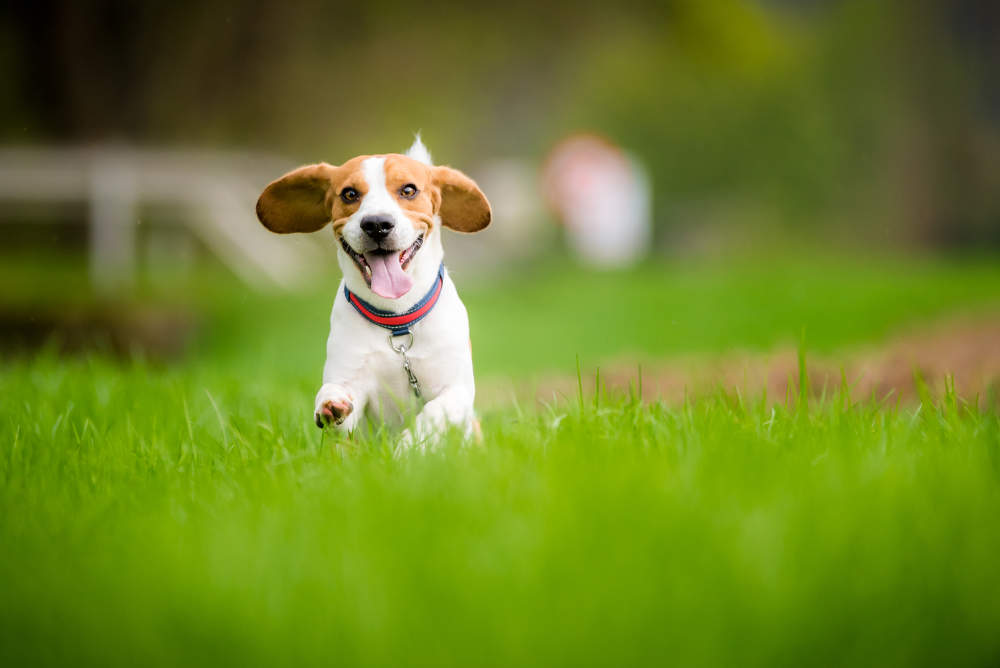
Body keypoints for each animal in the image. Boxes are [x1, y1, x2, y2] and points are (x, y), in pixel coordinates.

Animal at [256, 137, 490, 448]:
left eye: (408, 190)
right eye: (349, 194)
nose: (377, 224)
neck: (396, 321)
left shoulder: (457, 392)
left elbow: (433, 413)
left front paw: (406, 448)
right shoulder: (353, 385)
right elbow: (334, 399)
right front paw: (330, 404)